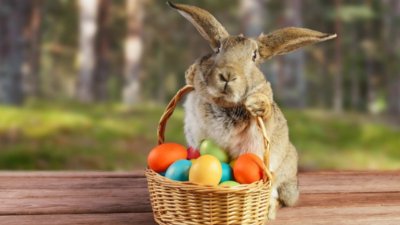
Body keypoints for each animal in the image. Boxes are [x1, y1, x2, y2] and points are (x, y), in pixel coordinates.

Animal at [167, 1, 336, 220]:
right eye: (218, 49)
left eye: (254, 56)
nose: (227, 75)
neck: (225, 103)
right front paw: (191, 72)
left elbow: (265, 109)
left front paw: (256, 103)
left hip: (282, 178)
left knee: (279, 198)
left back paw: (270, 211)